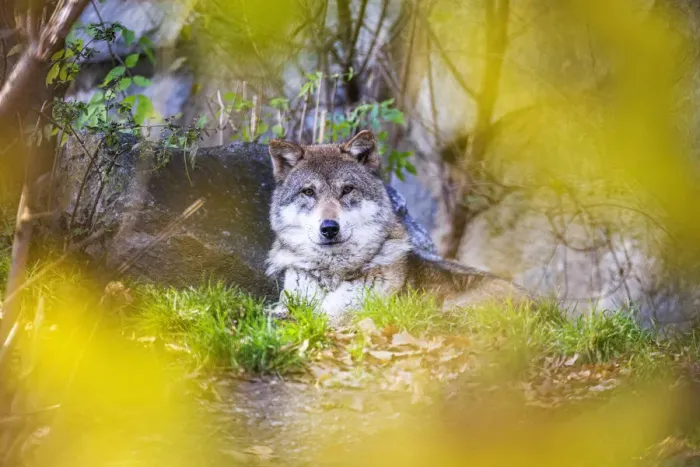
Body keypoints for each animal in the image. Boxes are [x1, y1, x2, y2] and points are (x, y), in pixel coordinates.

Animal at [265, 130, 529, 325]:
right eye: (309, 192)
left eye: (347, 189)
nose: (329, 228)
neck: (334, 276)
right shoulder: (291, 301)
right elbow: (278, 310)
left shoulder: (340, 312)